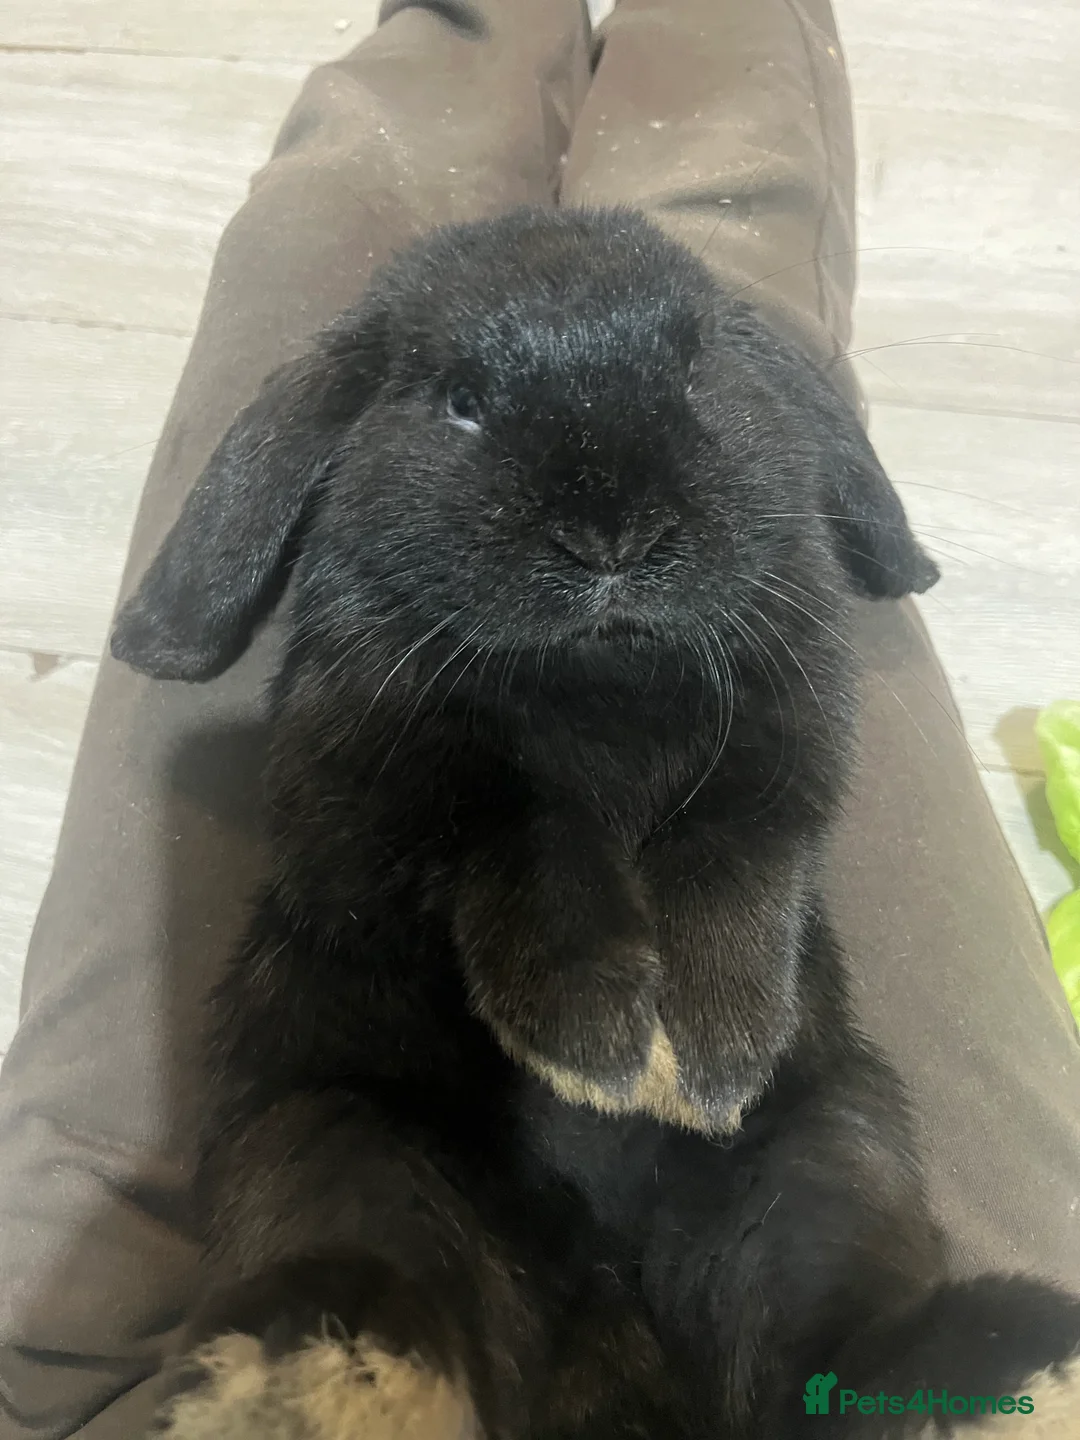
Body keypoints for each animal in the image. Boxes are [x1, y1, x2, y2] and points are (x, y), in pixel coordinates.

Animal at [112, 206, 1080, 1440]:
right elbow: (523, 835)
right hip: (331, 1133)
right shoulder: (376, 773)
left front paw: (708, 1062)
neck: (602, 669)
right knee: (383, 1284)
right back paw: (306, 1383)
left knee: (832, 1343)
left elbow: (734, 866)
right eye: (459, 399)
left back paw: (1014, 1369)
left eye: (697, 365)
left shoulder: (783, 745)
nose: (612, 535)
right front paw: (599, 1050)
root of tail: (615, 1358)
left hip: (833, 1151)